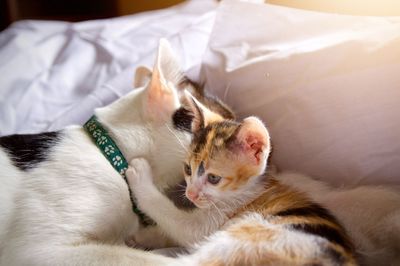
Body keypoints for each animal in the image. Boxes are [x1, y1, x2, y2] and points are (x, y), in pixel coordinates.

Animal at [126, 93, 356, 264]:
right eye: (187, 169)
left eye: (213, 178)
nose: (190, 194)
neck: (247, 191)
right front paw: (146, 235)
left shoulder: (213, 221)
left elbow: (179, 222)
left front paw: (139, 173)